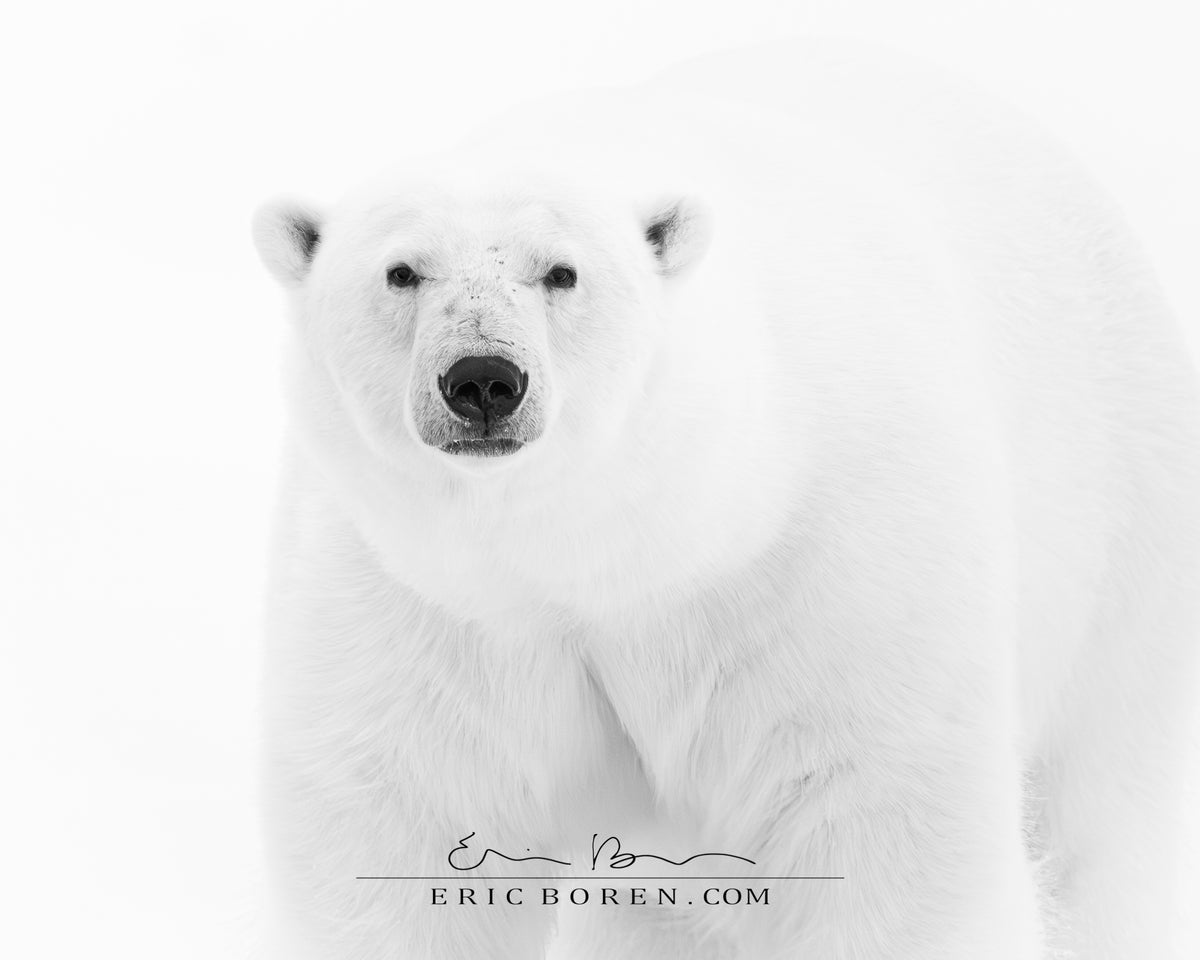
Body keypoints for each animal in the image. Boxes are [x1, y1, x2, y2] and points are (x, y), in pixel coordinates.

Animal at [251, 40, 1200, 960]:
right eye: (401, 271)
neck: (624, 545)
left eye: (561, 272)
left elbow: (884, 829)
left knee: (1101, 810)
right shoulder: (422, 605)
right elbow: (401, 835)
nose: (483, 379)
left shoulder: (829, 576)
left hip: (1120, 522)